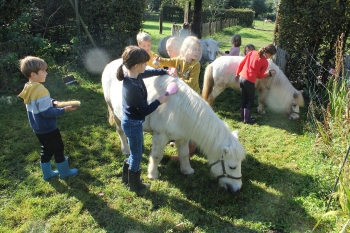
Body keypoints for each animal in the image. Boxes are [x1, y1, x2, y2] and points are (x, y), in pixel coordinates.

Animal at [102, 58, 246, 193]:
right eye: (232, 167)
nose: (237, 188)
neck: (182, 110)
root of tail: (112, 63)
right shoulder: (160, 136)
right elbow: (156, 156)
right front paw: (152, 174)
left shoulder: (183, 137)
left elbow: (184, 154)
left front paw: (187, 170)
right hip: (114, 112)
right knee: (120, 131)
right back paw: (125, 150)